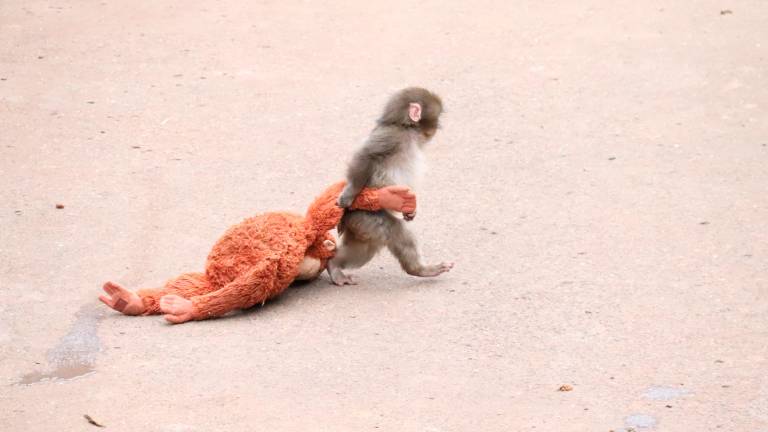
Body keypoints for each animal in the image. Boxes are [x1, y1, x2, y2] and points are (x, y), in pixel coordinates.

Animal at [328, 87, 454, 286]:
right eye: (438, 117)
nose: (437, 127)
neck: (405, 128)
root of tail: (349, 222)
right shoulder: (392, 137)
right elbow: (366, 155)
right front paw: (349, 194)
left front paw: (410, 211)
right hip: (365, 216)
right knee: (396, 232)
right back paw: (421, 270)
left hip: (362, 227)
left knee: (364, 249)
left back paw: (334, 263)